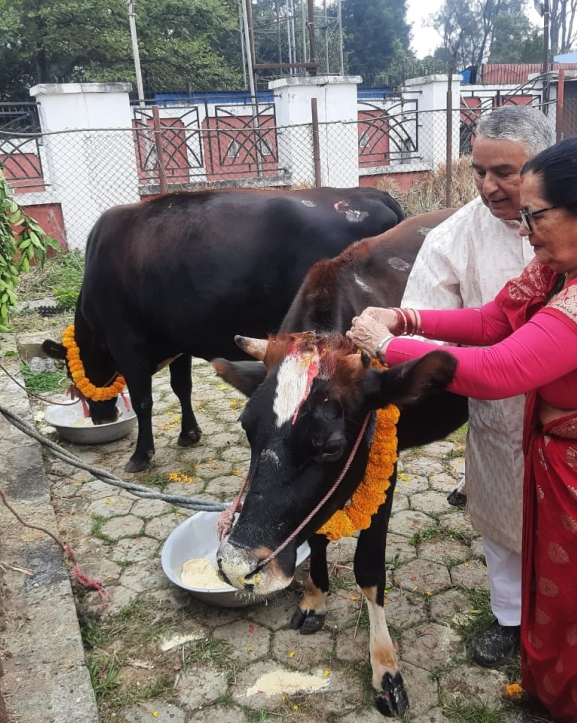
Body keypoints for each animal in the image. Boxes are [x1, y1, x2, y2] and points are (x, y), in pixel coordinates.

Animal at [41, 184, 400, 472]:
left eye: (71, 374)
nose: (102, 418)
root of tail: (372, 193)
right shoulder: (178, 341)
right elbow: (181, 388)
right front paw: (189, 434)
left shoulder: (126, 343)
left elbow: (143, 400)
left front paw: (141, 456)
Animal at [212, 209, 468, 720]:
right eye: (247, 427)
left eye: (331, 446)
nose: (236, 563)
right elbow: (315, 535)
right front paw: (315, 598)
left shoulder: (383, 467)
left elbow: (369, 569)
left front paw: (385, 669)